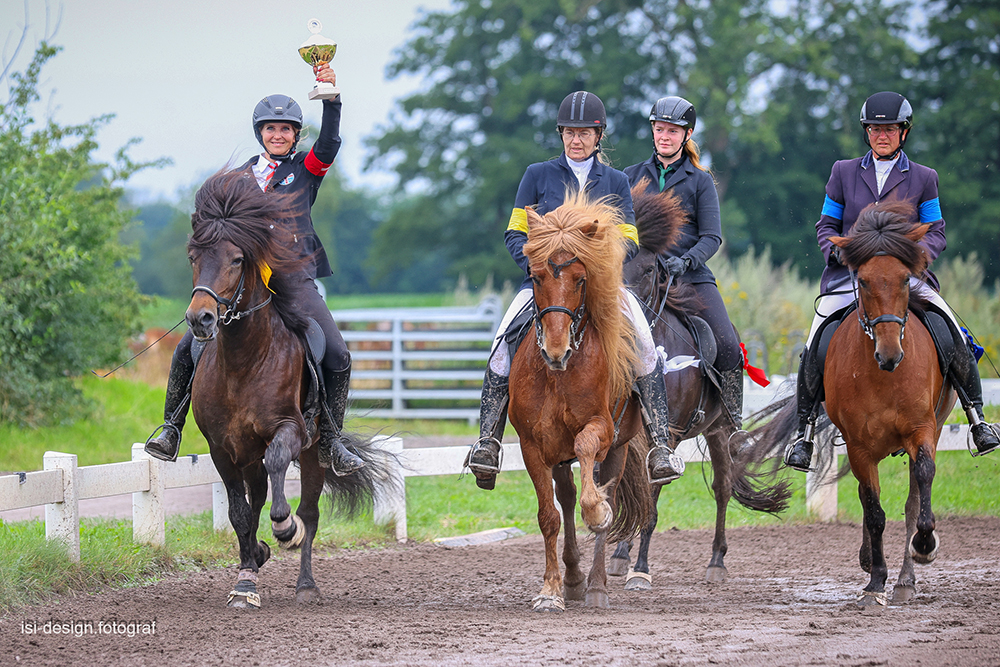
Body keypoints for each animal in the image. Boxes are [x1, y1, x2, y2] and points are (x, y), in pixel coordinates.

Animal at [186, 172, 392, 612]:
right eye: (194, 257)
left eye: (236, 259)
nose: (200, 319)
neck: (243, 359)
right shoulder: (221, 449)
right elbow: (240, 513)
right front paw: (246, 580)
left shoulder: (291, 429)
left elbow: (280, 464)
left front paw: (284, 527)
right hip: (247, 455)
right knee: (256, 500)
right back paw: (256, 556)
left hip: (315, 453)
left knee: (310, 511)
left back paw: (305, 582)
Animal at [512, 190, 652, 612]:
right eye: (536, 276)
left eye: (581, 279)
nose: (555, 351)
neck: (559, 374)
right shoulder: (533, 445)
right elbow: (549, 516)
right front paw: (550, 591)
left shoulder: (602, 429)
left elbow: (588, 449)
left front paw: (598, 510)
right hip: (558, 455)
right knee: (567, 497)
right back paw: (574, 579)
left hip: (620, 448)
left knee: (606, 489)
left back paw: (597, 586)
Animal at [604, 180, 792, 588]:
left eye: (648, 269)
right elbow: (626, 487)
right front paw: (619, 555)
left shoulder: (669, 435)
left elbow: (653, 496)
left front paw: (640, 568)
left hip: (720, 430)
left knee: (723, 488)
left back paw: (717, 561)